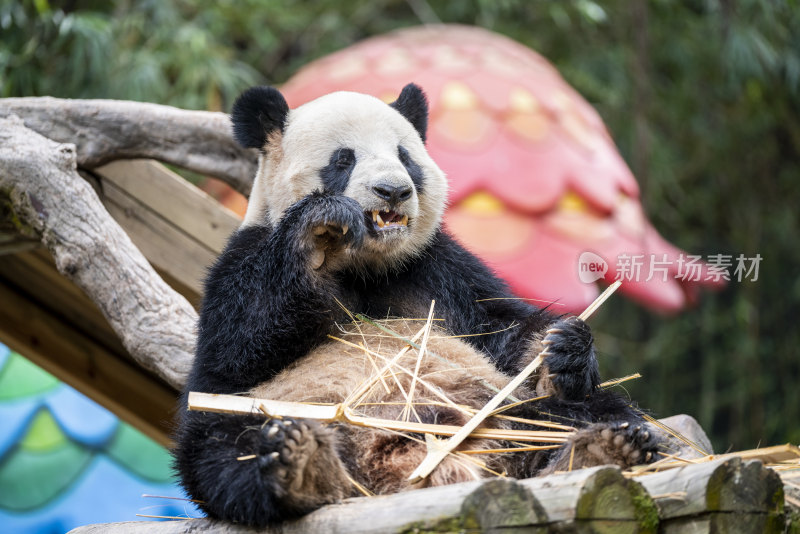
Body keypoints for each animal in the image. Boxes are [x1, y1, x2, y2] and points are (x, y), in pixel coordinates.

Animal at [173, 84, 656, 528]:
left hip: (501, 408)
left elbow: (500, 330)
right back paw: (300, 463)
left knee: (582, 412)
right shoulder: (241, 259)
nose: (393, 191)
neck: (365, 264)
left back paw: (604, 448)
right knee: (224, 447)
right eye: (342, 159)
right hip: (274, 411)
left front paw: (562, 349)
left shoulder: (438, 270)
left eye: (405, 157)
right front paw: (319, 225)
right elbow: (237, 351)